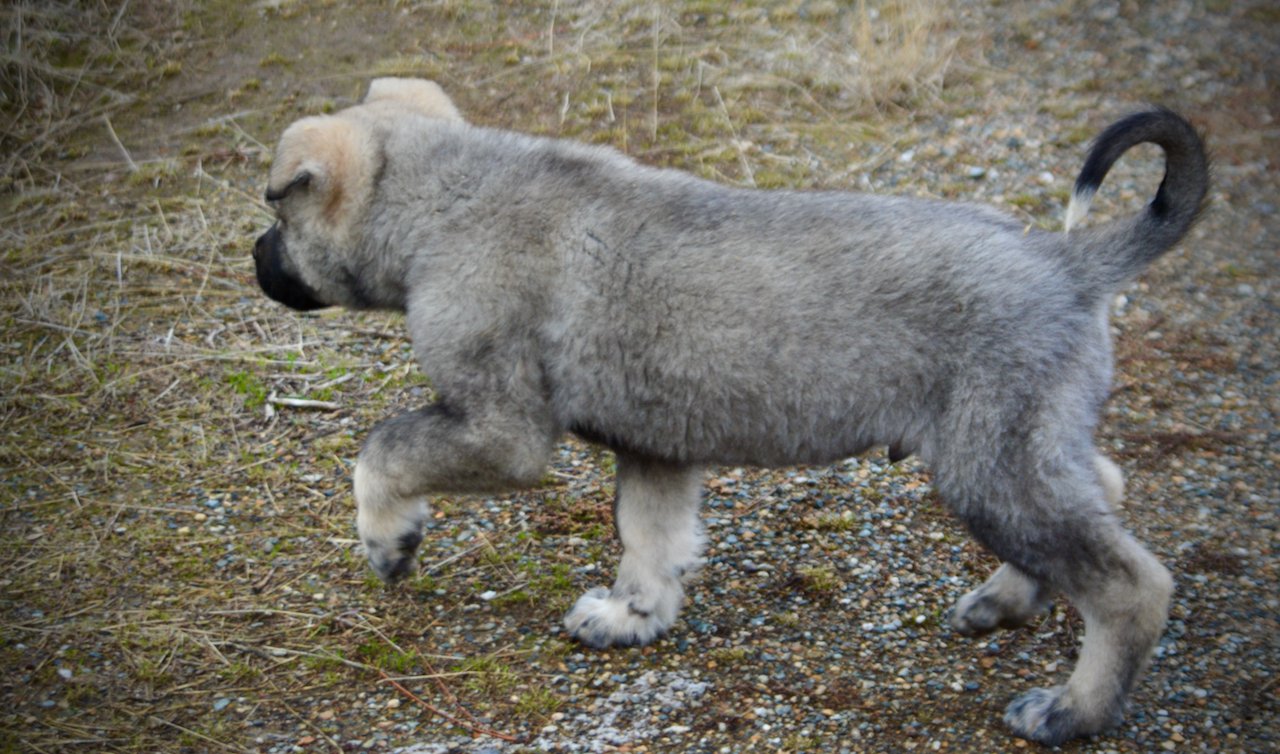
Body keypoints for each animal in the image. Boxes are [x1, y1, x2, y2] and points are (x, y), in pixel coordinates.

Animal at [252, 77, 1208, 747]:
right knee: (1103, 488)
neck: (444, 202)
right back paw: (1006, 600)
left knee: (1129, 585)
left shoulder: (499, 431)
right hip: (1020, 446)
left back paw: (1073, 711)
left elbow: (384, 447)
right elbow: (650, 538)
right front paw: (633, 616)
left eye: (279, 217)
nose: (256, 262)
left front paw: (387, 541)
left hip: (990, 463)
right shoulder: (653, 446)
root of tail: (1072, 264)